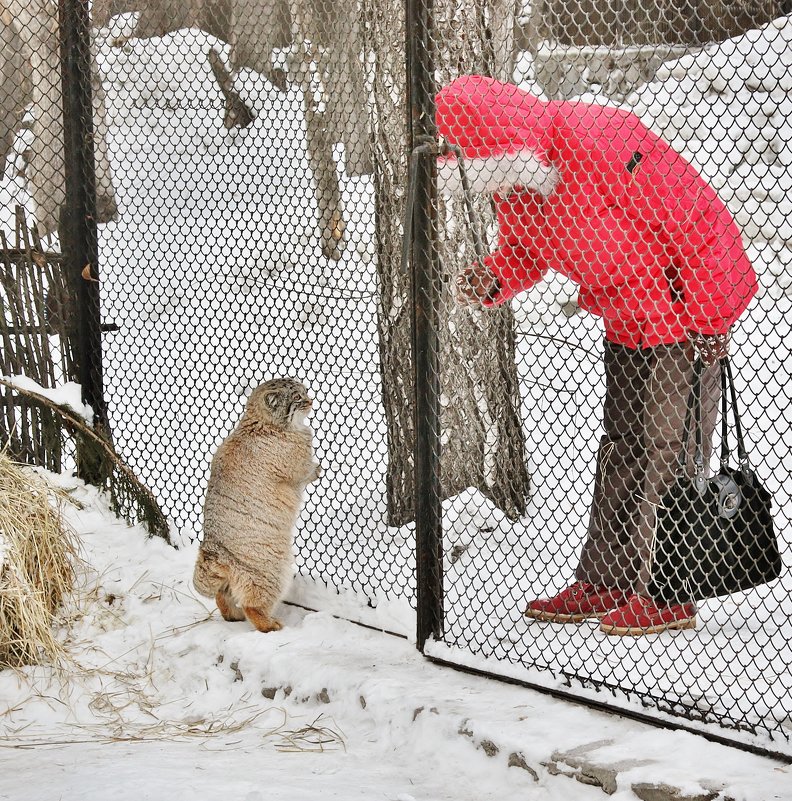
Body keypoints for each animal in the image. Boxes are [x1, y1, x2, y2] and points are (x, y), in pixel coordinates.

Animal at [193, 378, 320, 636]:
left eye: (304, 392)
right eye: (297, 397)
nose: (311, 400)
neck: (259, 423)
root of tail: (214, 553)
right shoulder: (298, 464)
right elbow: (307, 471)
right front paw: (318, 469)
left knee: (223, 595)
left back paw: (232, 616)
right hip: (271, 574)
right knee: (253, 605)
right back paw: (269, 625)